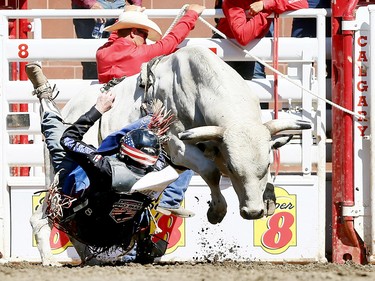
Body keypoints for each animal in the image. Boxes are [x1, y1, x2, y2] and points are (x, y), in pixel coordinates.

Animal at [30, 44, 312, 264]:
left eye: (267, 166)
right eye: (233, 169)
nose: (253, 212)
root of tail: (70, 108)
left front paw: (269, 196)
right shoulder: (177, 146)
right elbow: (209, 171)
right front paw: (216, 211)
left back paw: (91, 259)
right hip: (61, 175)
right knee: (41, 217)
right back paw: (50, 259)